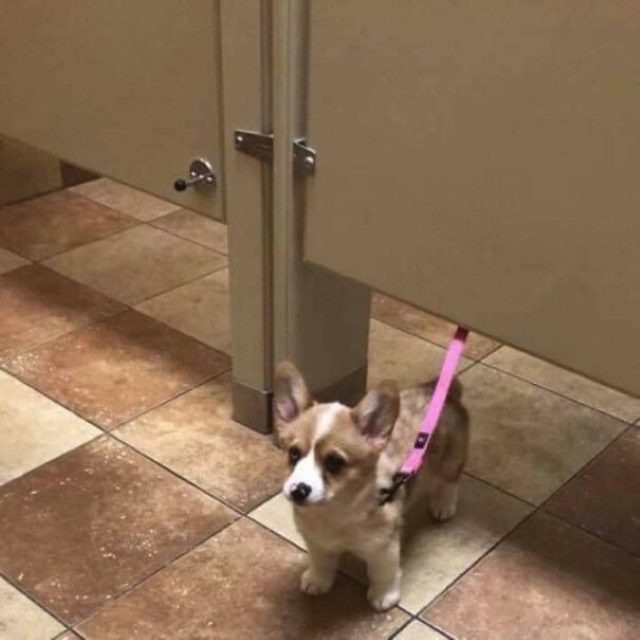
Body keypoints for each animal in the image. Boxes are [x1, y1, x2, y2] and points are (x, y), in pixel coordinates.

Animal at [274, 362, 470, 612]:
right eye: (294, 454)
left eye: (334, 462)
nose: (298, 490)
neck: (335, 511)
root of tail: (441, 389)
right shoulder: (317, 541)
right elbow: (321, 562)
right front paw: (317, 581)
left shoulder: (383, 547)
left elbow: (382, 573)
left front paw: (384, 596)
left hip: (451, 459)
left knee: (450, 480)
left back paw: (443, 505)